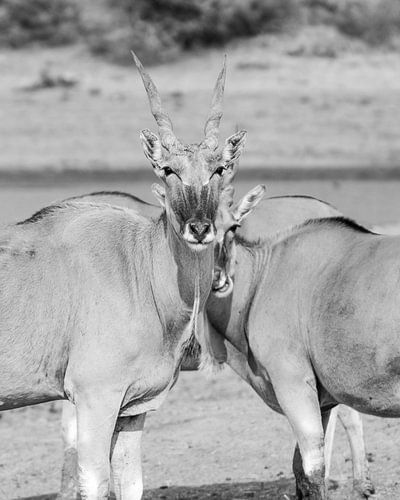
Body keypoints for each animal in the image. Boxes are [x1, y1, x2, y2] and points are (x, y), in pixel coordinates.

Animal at [0, 55, 247, 500]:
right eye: (168, 170)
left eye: (218, 168)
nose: (199, 229)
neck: (138, 266)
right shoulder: (94, 399)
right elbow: (96, 481)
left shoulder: (133, 409)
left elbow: (131, 482)